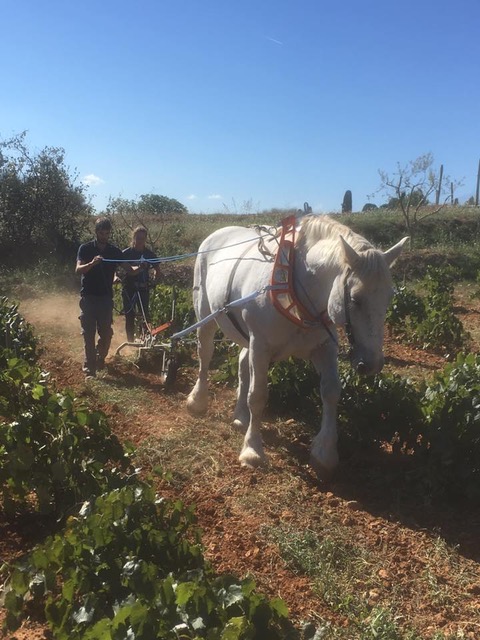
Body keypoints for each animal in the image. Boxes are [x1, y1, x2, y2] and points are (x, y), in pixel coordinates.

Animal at [186, 214, 408, 478]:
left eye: (389, 297)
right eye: (355, 299)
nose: (372, 364)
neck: (296, 287)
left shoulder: (324, 347)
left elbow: (331, 392)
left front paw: (324, 452)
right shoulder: (261, 346)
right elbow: (258, 396)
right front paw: (252, 450)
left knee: (241, 364)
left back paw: (240, 415)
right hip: (206, 315)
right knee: (205, 353)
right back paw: (198, 400)